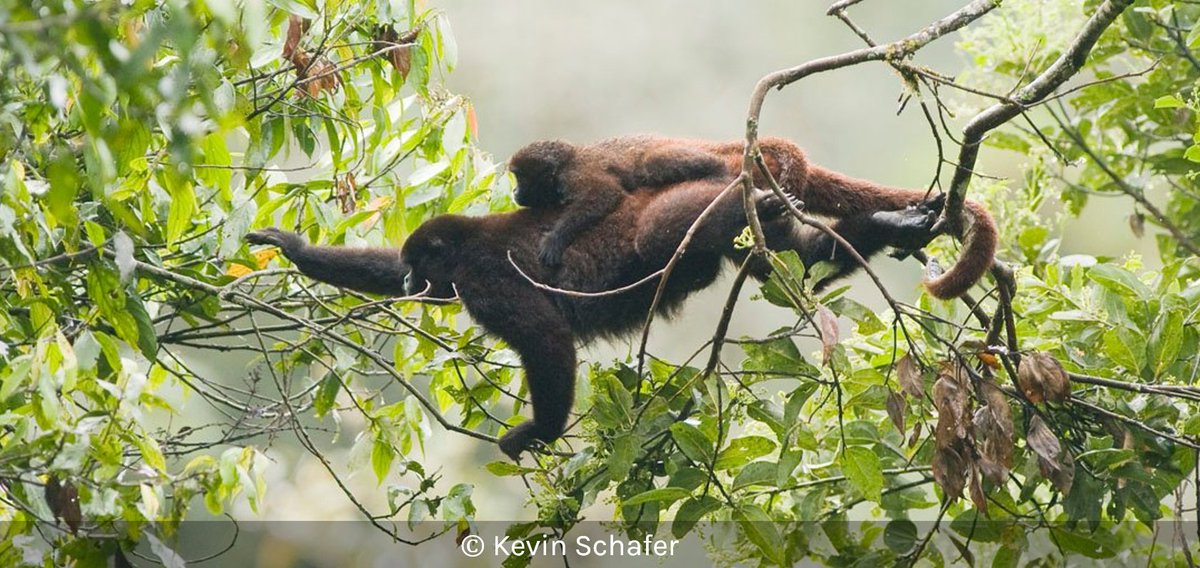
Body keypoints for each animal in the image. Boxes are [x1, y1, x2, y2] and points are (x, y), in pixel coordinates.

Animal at [247, 171, 950, 460]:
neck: (464, 246)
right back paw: (878, 225)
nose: (411, 279)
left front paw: (539, 433)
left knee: (675, 232)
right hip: (757, 235)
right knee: (794, 259)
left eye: (422, 265)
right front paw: (296, 248)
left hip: (684, 209)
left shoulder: (482, 281)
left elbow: (546, 337)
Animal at [508, 136, 728, 268]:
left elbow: (604, 193)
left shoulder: (575, 175)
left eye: (519, 177)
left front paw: (555, 238)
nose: (514, 191)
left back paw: (719, 170)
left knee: (652, 163)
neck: (565, 164)